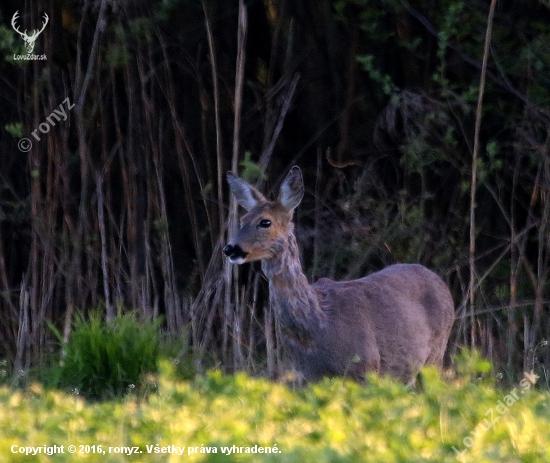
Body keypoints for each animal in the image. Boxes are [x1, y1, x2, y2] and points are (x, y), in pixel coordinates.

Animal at [224, 167, 458, 384]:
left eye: (265, 222)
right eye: (243, 218)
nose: (230, 248)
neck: (318, 324)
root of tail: (440, 282)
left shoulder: (367, 367)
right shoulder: (307, 376)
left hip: (435, 355)